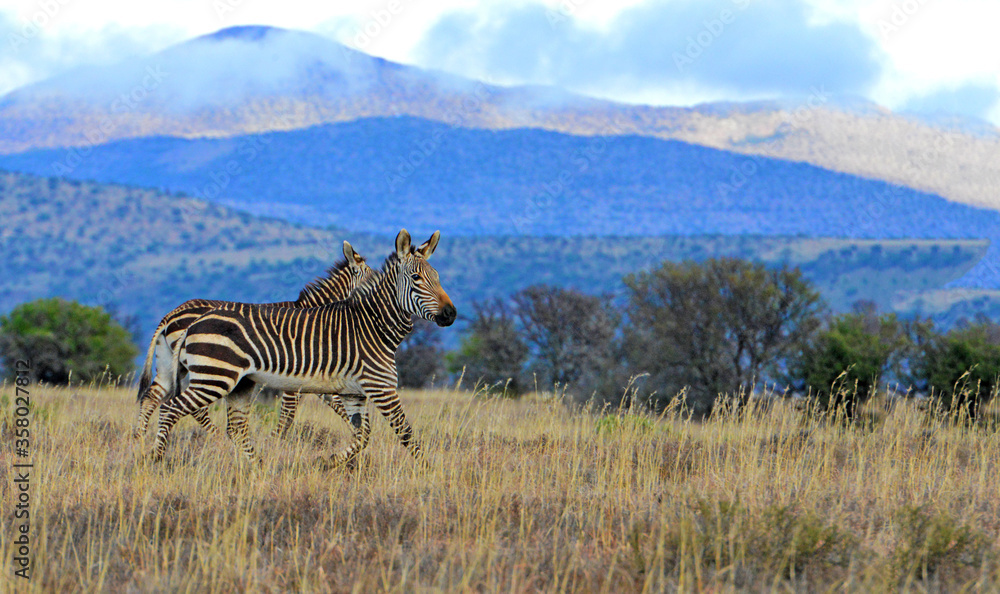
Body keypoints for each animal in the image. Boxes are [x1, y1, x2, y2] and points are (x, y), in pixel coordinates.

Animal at [132, 241, 376, 440]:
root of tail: (170, 314)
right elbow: (288, 415)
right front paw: (273, 444)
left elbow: (340, 408)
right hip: (205, 368)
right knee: (194, 407)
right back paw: (219, 438)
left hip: (171, 364)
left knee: (151, 397)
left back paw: (139, 442)